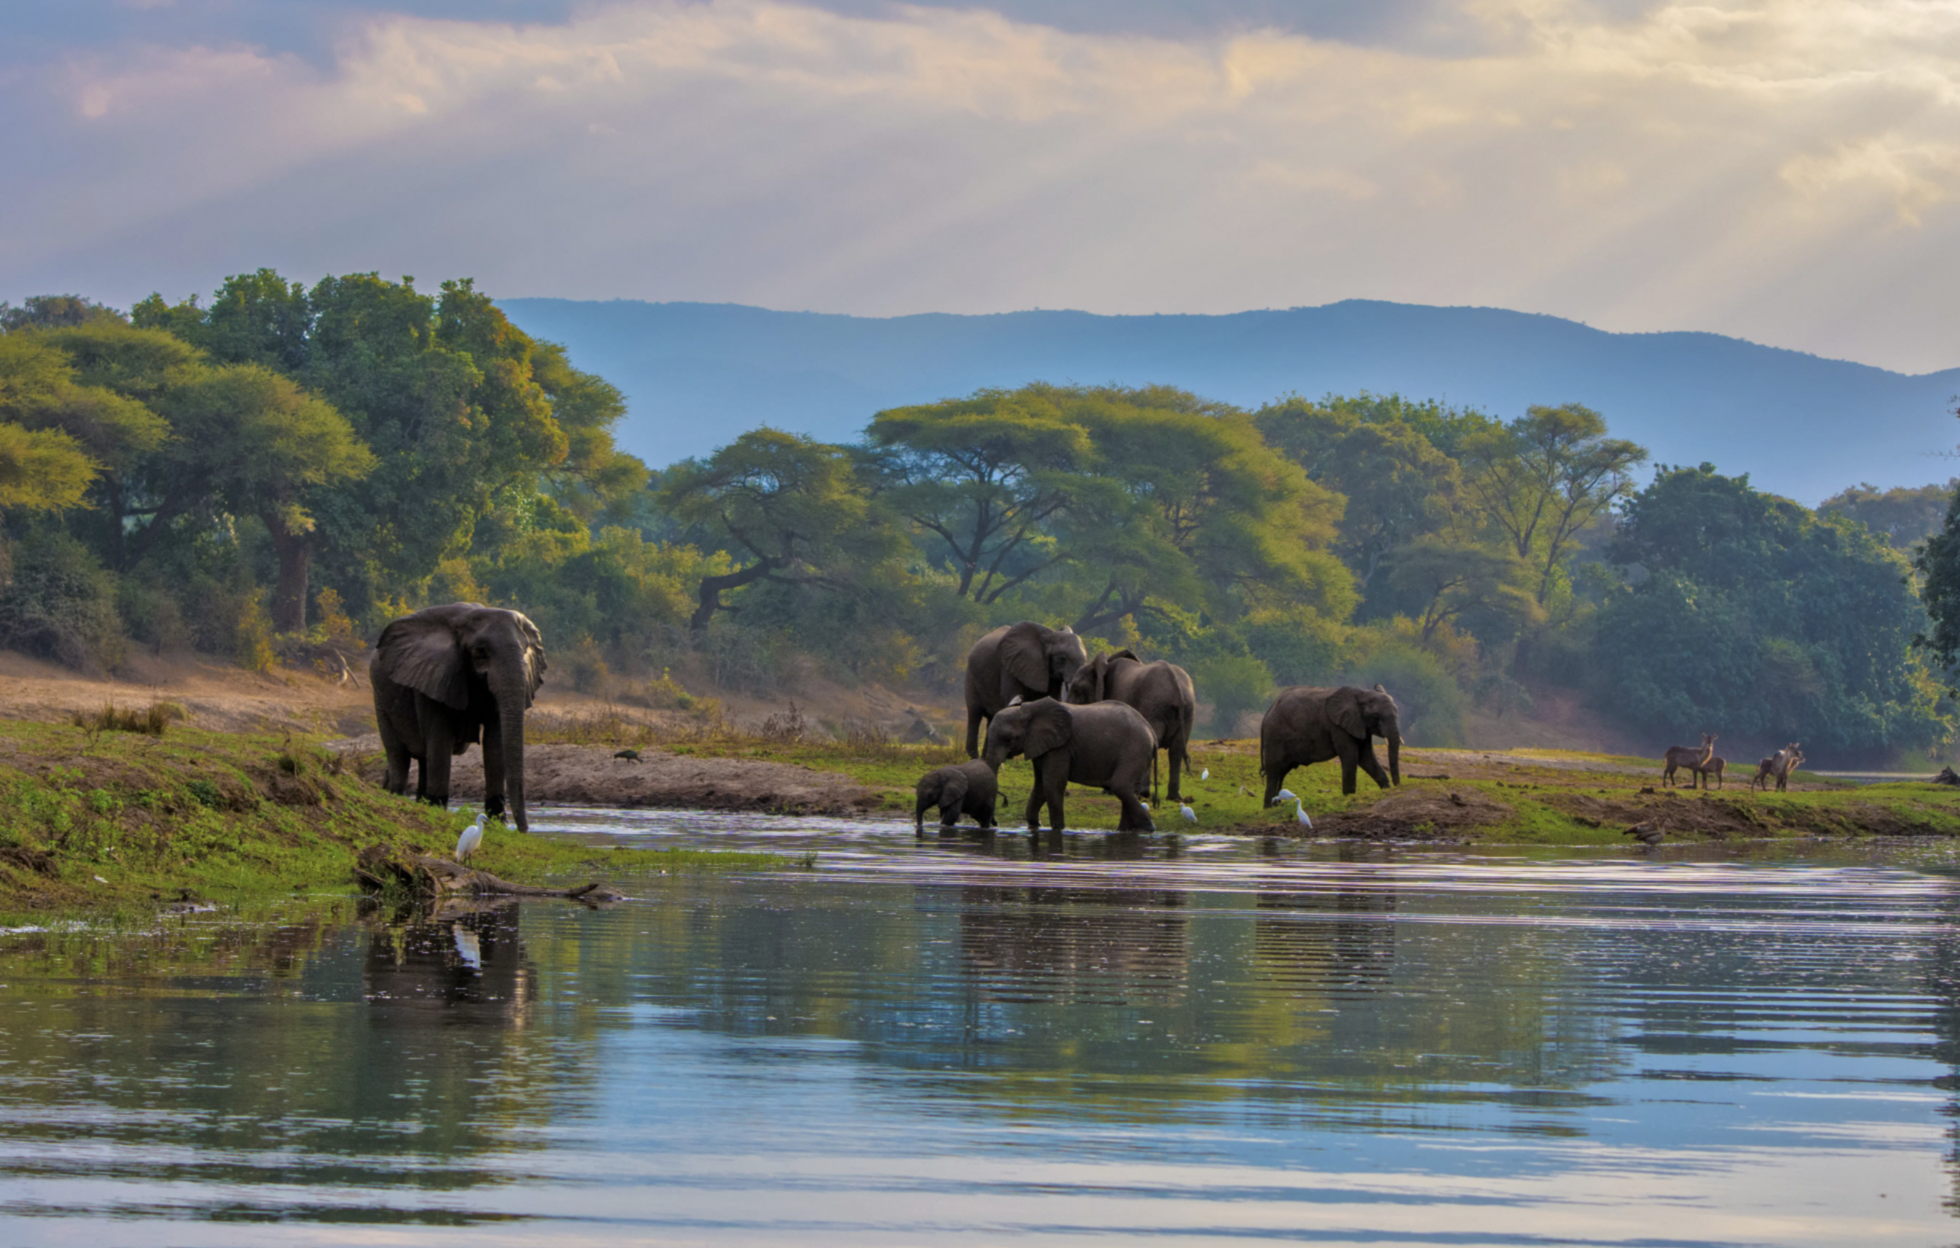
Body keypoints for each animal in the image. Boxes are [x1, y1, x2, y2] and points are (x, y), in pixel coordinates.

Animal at [368, 599, 548, 826]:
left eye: (526, 650)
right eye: (480, 651)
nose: (523, 830)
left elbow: (495, 743)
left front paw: (498, 823)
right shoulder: (433, 676)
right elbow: (440, 738)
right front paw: (438, 809)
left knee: (424, 759)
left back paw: (423, 802)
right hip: (380, 698)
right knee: (399, 754)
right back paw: (400, 796)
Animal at [987, 697, 1152, 830]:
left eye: (1008, 739)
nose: (995, 824)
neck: (1028, 709)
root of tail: (1150, 729)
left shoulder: (1061, 747)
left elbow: (1051, 784)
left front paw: (1058, 829)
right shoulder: (1040, 744)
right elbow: (1040, 785)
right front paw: (1035, 826)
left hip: (1134, 750)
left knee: (1121, 786)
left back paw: (1148, 828)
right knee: (1128, 790)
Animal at [1066, 646, 1199, 803]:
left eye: (1076, 690)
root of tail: (1177, 690)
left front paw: (1108, 791)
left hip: (1154, 707)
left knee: (1154, 742)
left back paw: (1143, 794)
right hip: (1187, 711)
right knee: (1177, 749)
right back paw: (1174, 798)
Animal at [1262, 681, 1403, 799]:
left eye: (1397, 714)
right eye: (1376, 716)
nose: (1397, 786)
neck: (1362, 693)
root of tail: (1269, 710)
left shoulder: (1360, 724)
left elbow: (1365, 756)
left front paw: (1385, 789)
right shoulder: (1338, 726)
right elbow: (1351, 756)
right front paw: (1348, 797)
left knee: (1281, 774)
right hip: (1275, 737)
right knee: (1274, 773)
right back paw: (1270, 808)